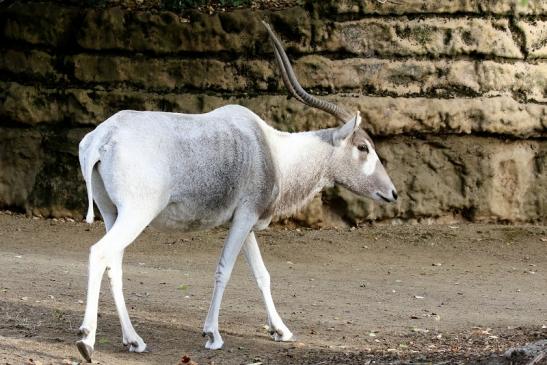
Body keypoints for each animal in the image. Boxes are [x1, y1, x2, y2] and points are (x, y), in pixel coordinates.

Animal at [75, 22, 396, 362]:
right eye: (363, 147)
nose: (392, 193)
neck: (272, 149)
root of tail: (103, 137)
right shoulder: (244, 217)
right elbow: (225, 269)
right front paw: (212, 334)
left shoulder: (246, 221)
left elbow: (262, 274)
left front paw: (281, 331)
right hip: (137, 213)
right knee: (100, 253)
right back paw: (87, 340)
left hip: (112, 212)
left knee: (114, 264)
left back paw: (133, 340)